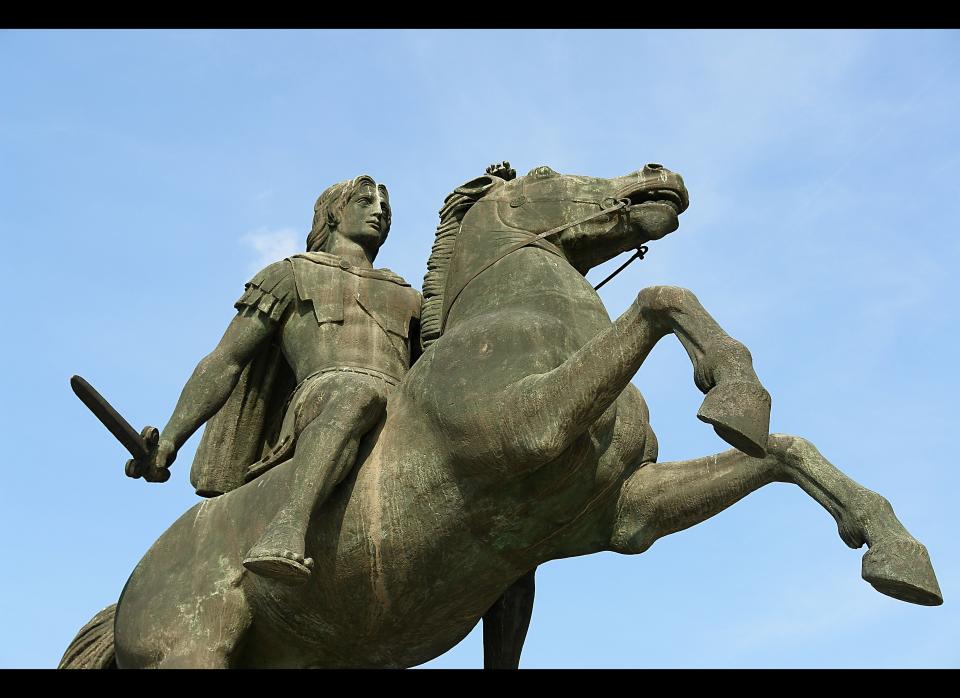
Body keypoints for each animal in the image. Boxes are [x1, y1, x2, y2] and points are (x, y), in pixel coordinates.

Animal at [62, 163, 944, 668]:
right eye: (548, 169)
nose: (659, 172)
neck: (513, 326)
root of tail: (132, 589)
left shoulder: (620, 516)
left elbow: (781, 450)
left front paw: (896, 552)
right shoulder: (528, 429)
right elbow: (662, 299)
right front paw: (731, 391)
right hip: (190, 652)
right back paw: (276, 553)